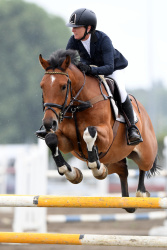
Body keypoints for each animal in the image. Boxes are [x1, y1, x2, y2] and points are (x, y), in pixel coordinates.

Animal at [37, 48, 158, 213]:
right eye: (42, 86)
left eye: (63, 86)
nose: (49, 123)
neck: (77, 106)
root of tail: (144, 114)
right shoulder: (67, 142)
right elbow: (51, 140)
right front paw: (72, 173)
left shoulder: (106, 136)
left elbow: (89, 132)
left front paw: (94, 165)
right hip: (115, 159)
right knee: (123, 172)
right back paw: (125, 198)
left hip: (146, 153)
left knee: (143, 168)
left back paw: (141, 193)